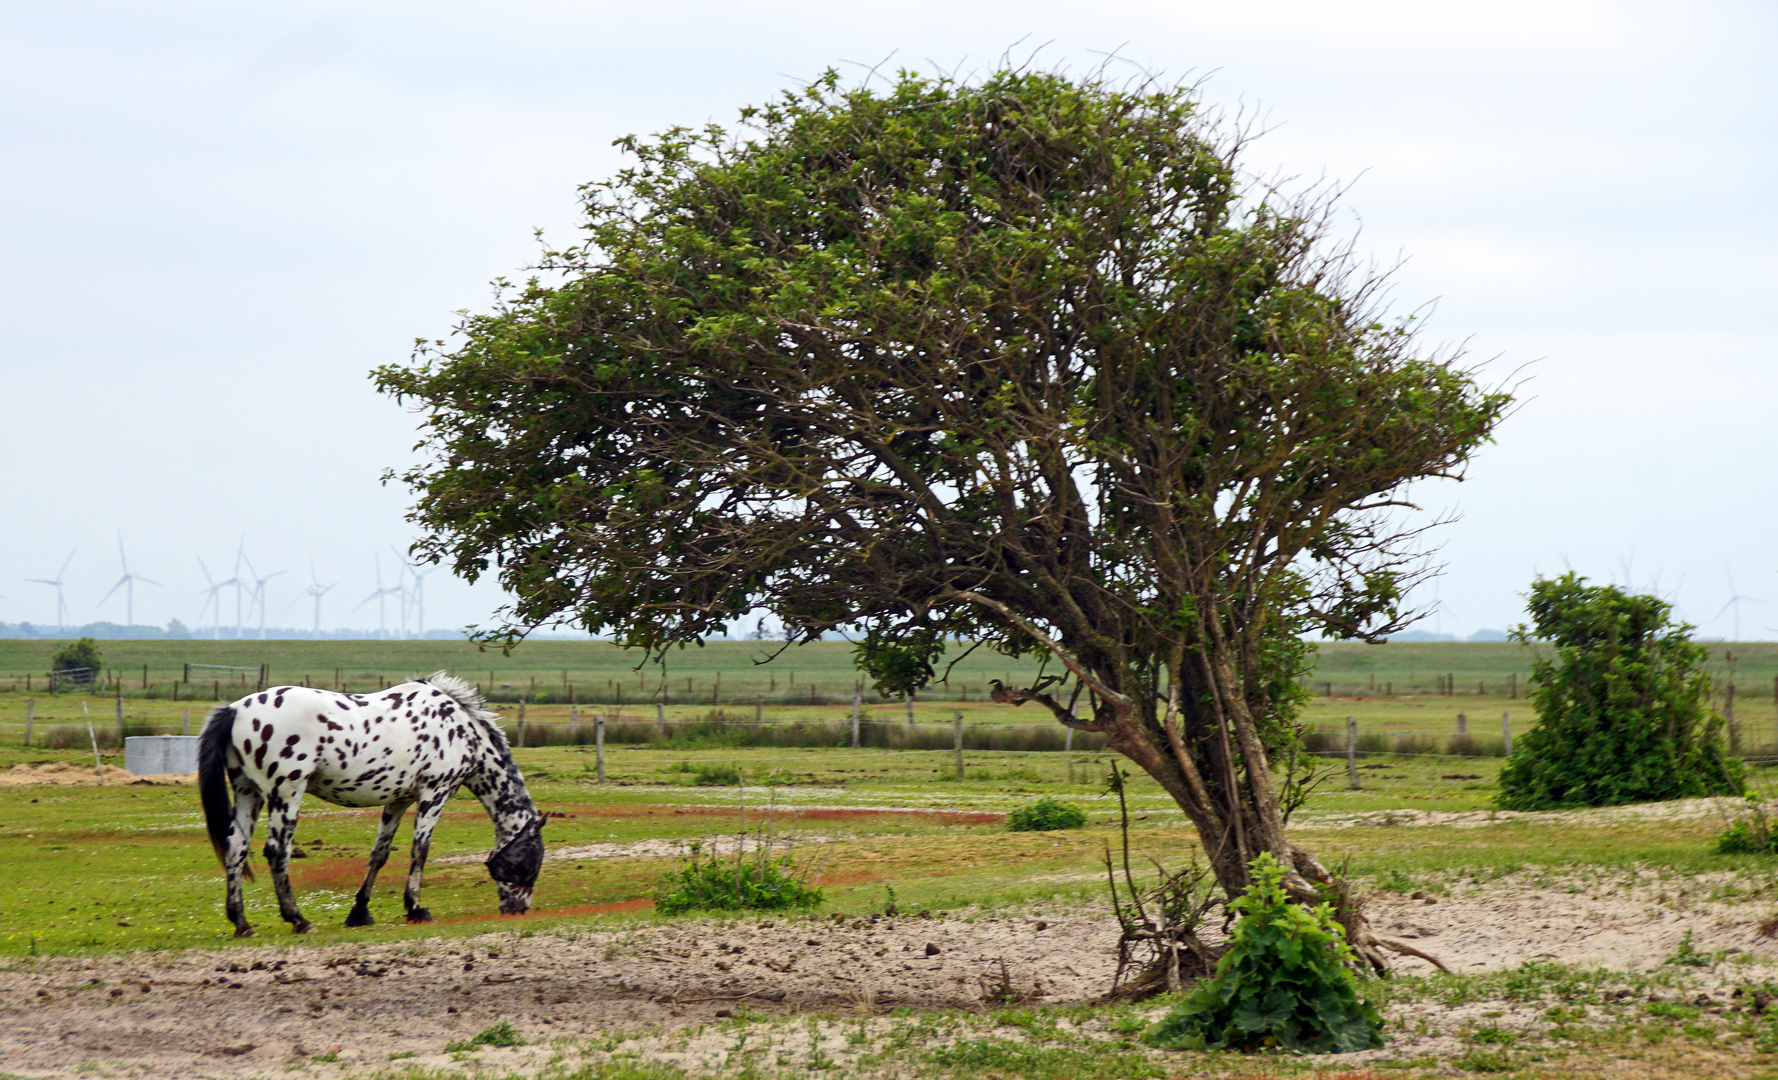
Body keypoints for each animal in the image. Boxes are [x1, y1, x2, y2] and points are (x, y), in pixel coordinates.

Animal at [196, 676, 540, 939]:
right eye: (530, 863)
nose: (518, 909)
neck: (460, 730)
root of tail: (235, 709)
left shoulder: (399, 800)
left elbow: (380, 854)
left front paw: (360, 912)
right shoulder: (434, 793)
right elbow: (420, 851)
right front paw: (415, 908)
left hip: (248, 792)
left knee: (236, 849)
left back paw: (242, 923)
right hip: (286, 793)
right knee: (277, 851)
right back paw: (298, 919)